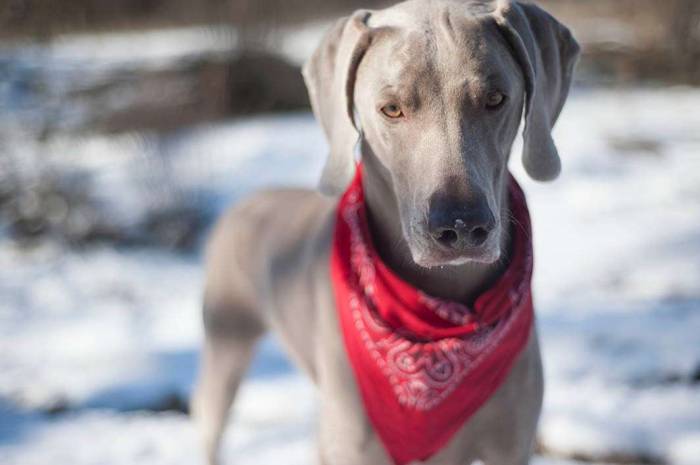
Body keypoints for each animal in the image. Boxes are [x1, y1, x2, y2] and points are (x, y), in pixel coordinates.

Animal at [191, 1, 580, 462]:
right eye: (391, 109)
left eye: (496, 99)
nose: (462, 226)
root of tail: (247, 201)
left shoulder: (512, 444)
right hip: (226, 337)